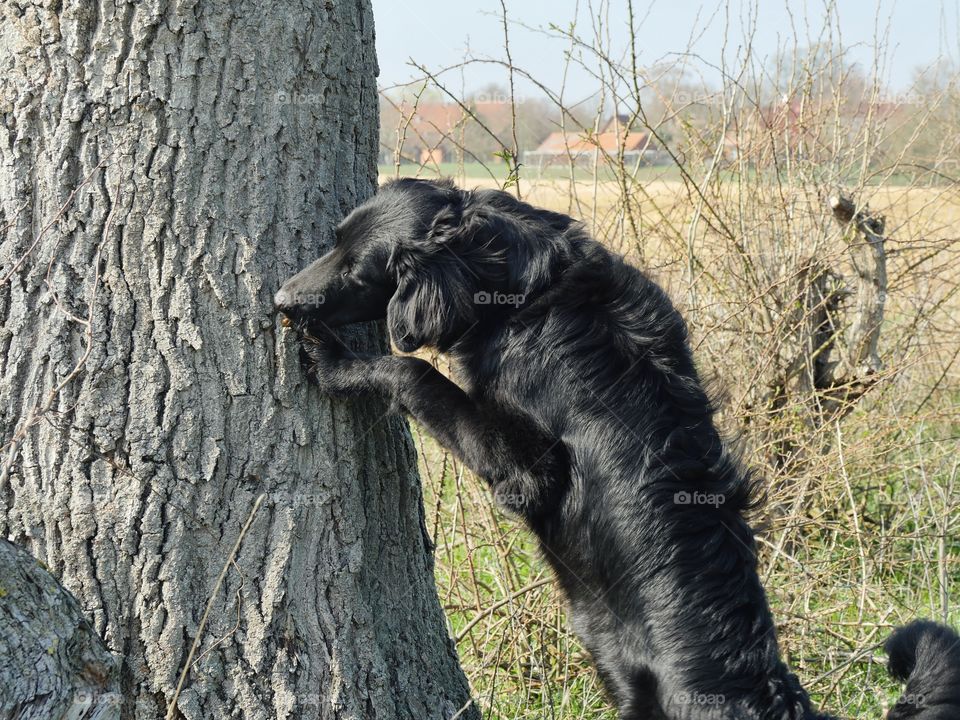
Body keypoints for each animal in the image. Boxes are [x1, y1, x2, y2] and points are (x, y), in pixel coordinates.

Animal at [276, 176, 960, 720]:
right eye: (333, 241)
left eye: (359, 269)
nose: (282, 299)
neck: (525, 291)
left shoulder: (532, 471)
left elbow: (413, 372)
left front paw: (337, 362)